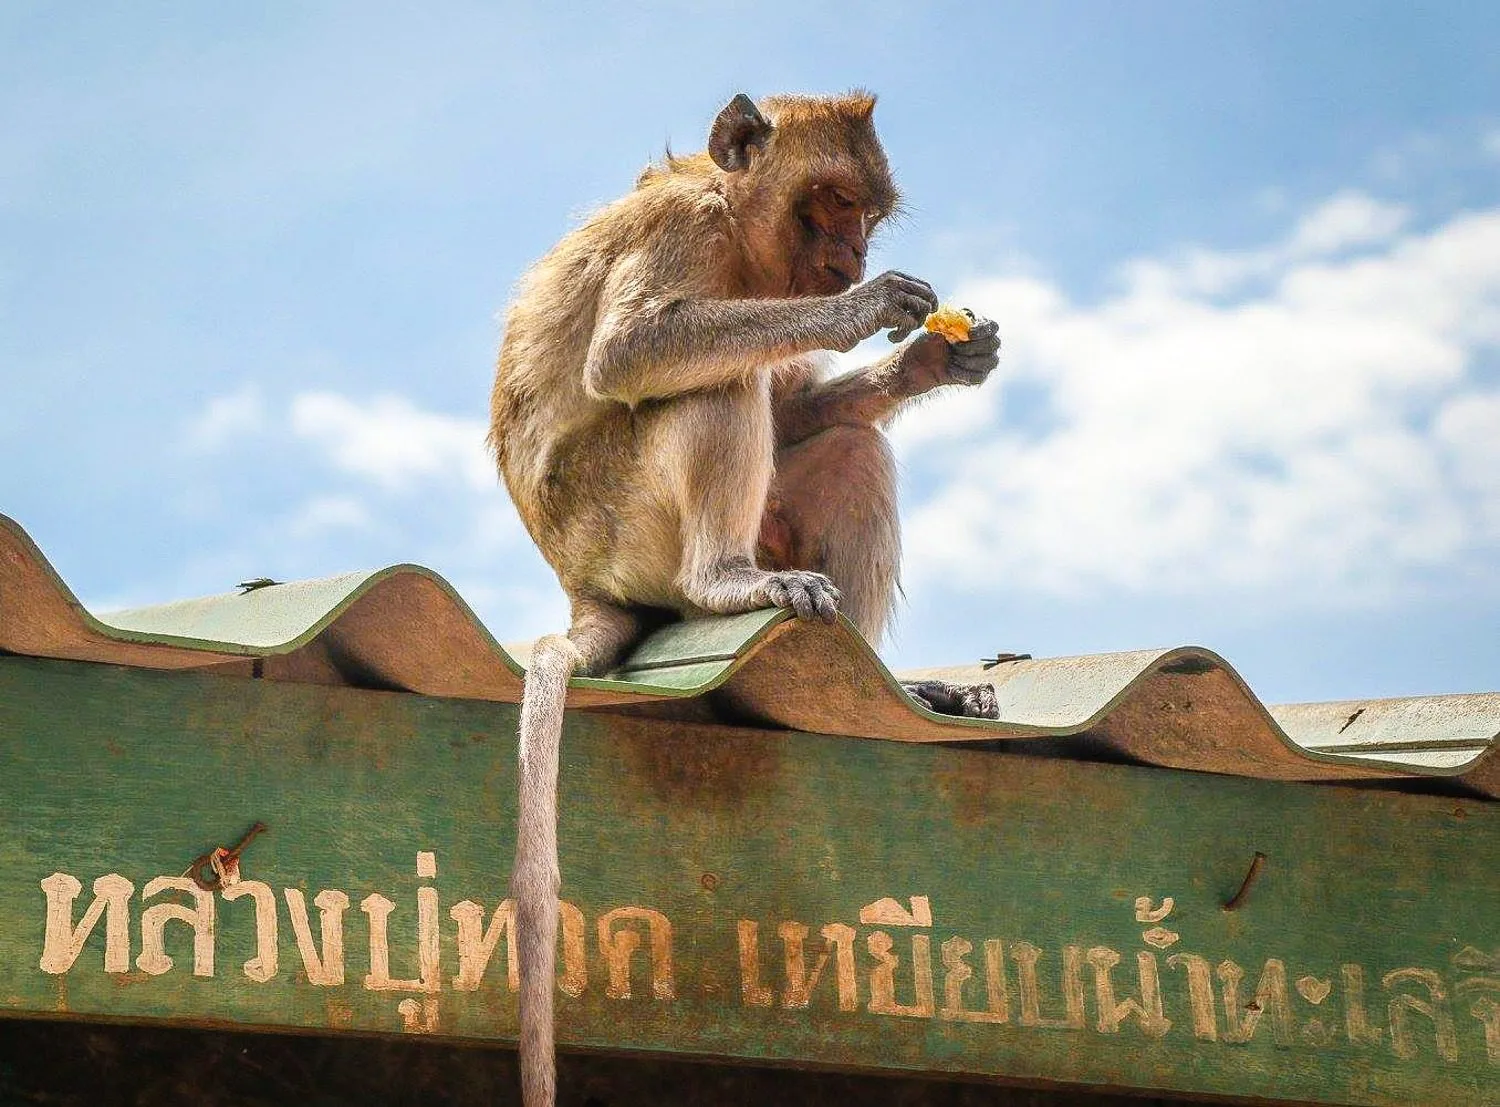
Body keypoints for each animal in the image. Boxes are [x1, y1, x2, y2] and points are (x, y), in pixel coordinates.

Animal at [488, 91, 1002, 1106]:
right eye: (832, 201)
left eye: (866, 212)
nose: (853, 255)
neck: (734, 227)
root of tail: (579, 588)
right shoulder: (682, 231)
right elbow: (629, 354)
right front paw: (860, 310)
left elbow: (800, 412)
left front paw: (934, 361)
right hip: (623, 531)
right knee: (715, 378)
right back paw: (723, 581)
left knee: (847, 446)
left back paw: (888, 683)